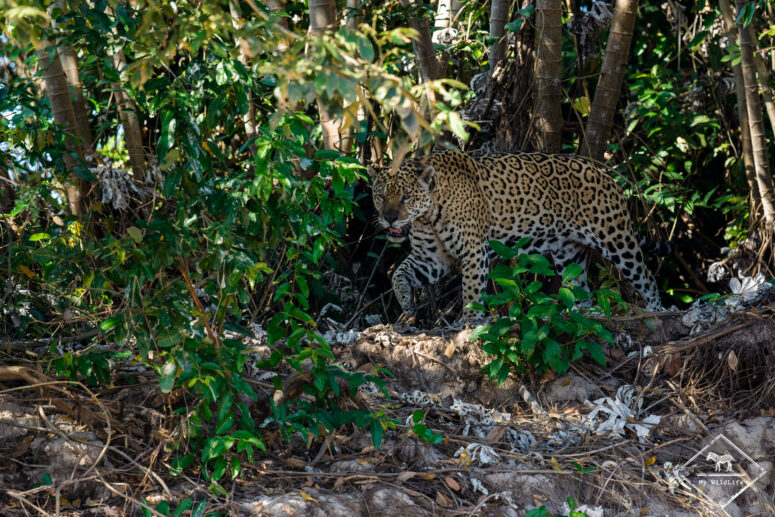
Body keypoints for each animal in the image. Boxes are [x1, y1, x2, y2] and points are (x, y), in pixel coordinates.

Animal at [369, 150, 669, 322]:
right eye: (381, 196)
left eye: (406, 198)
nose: (389, 218)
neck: (428, 215)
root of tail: (608, 175)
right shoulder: (431, 258)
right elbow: (399, 274)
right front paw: (407, 305)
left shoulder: (473, 250)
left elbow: (471, 288)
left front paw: (470, 322)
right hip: (568, 251)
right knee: (581, 289)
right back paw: (579, 313)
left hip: (616, 238)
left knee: (647, 276)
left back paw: (659, 311)